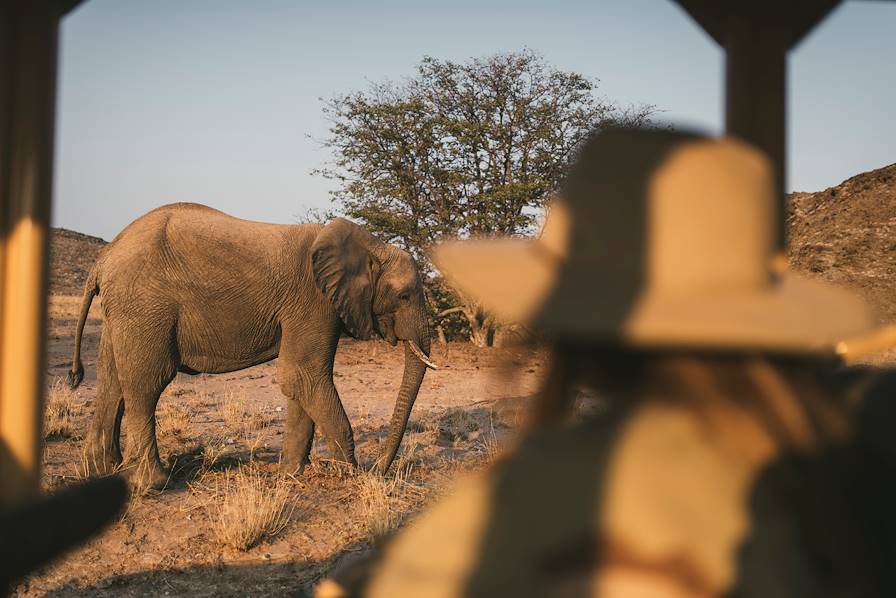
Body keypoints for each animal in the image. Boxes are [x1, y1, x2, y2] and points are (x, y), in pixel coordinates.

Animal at [68, 204, 436, 490]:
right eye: (404, 296)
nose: (379, 471)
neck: (370, 245)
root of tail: (103, 260)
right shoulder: (313, 300)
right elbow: (301, 375)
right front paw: (350, 476)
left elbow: (301, 382)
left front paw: (291, 475)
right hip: (145, 306)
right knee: (146, 383)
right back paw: (153, 483)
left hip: (122, 310)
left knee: (111, 380)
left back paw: (101, 469)